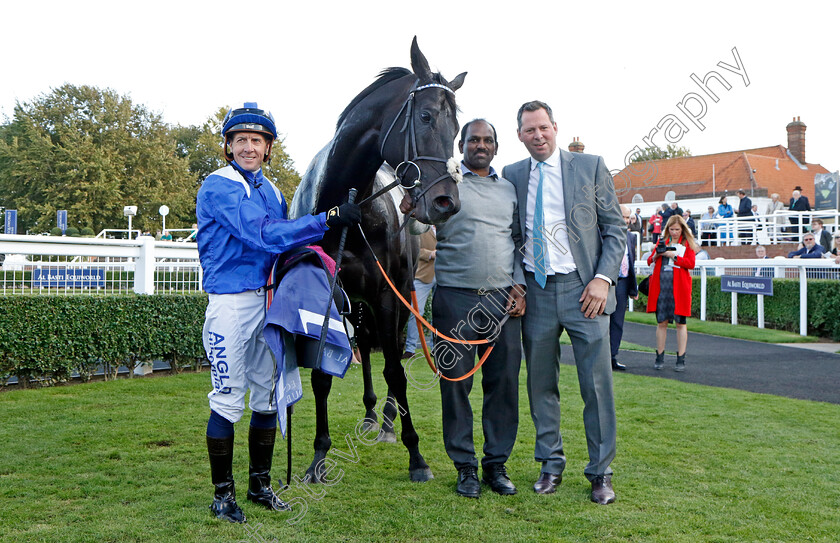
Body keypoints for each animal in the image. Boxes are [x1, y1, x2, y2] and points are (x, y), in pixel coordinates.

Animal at [286, 36, 462, 482]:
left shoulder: (386, 293)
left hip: (400, 295)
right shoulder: (330, 295)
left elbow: (395, 371)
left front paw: (416, 455)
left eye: (457, 129)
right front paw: (318, 457)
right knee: (365, 346)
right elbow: (321, 375)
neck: (345, 207)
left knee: (391, 351)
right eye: (426, 116)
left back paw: (386, 420)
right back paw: (368, 415)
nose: (446, 202)